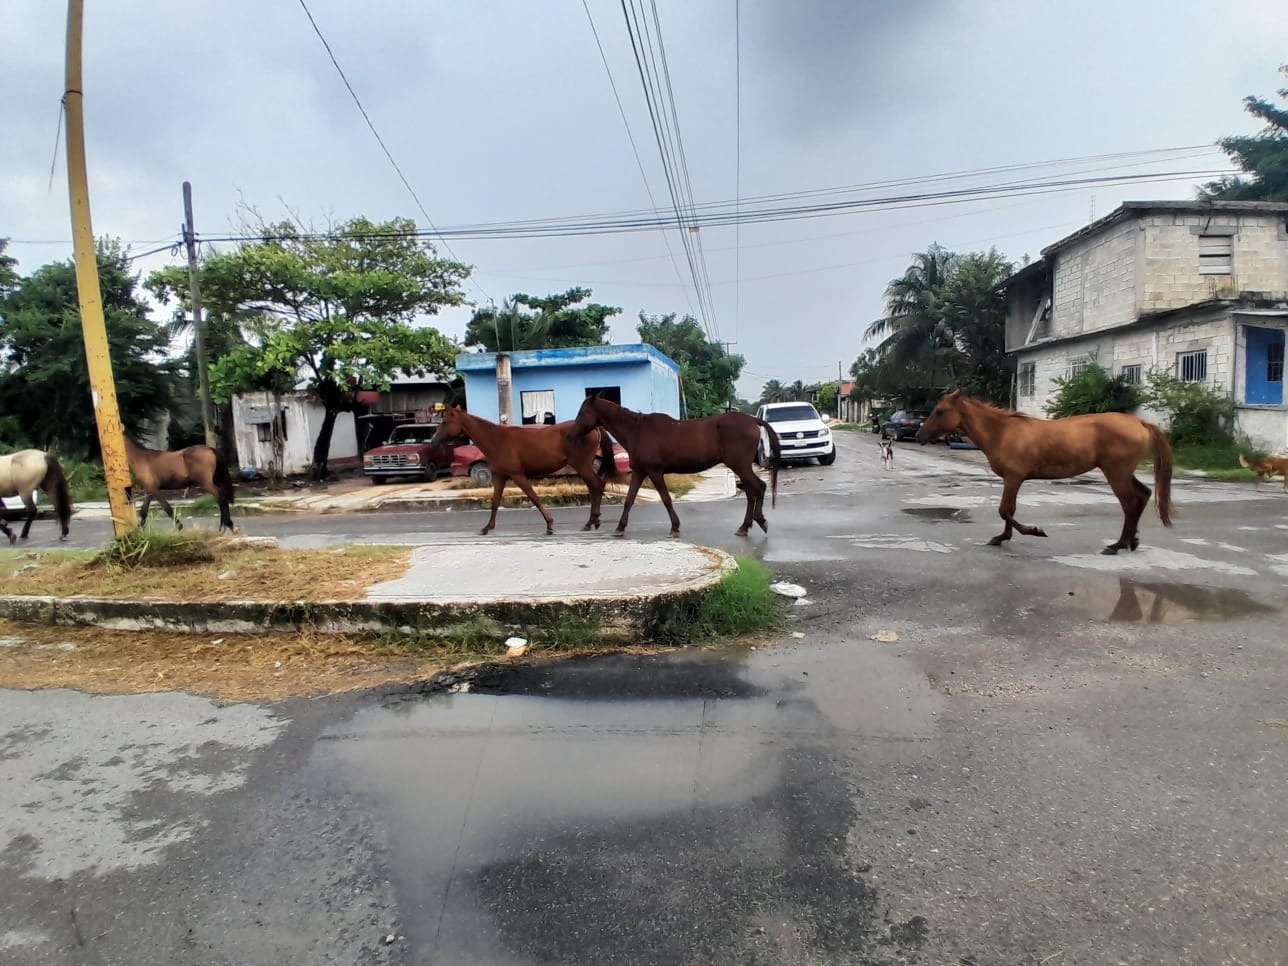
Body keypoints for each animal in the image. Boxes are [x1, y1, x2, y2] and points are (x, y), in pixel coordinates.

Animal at [430, 404, 615, 533]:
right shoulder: (499, 476)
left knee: (597, 486)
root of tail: (594, 428)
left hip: (582, 465)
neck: (496, 440)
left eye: (445, 422)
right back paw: (592, 522)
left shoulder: (517, 475)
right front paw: (487, 527)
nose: (433, 441)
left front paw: (549, 525)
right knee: (594, 488)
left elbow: (533, 497)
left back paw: (592, 522)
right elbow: (495, 501)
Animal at [574, 396, 783, 540]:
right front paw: (619, 527)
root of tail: (753, 421)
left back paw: (759, 521)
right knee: (752, 492)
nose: (572, 435)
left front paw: (674, 527)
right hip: (741, 466)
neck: (638, 431)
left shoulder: (654, 472)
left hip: (740, 465)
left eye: (582, 412)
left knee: (759, 488)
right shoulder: (640, 472)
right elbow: (629, 499)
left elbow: (666, 499)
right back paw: (745, 526)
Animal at [911, 391, 1174, 556]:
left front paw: (1035, 531)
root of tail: (1140, 423)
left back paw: (1117, 545)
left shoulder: (1014, 478)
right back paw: (1132, 541)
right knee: (1143, 495)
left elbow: (1004, 510)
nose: (919, 435)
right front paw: (1001, 538)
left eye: (940, 411)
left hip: (1116, 473)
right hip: (1124, 472)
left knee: (1130, 504)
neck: (1002, 432)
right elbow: (1009, 510)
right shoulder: (1013, 479)